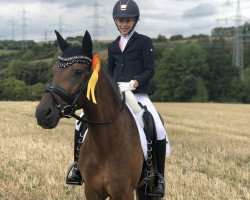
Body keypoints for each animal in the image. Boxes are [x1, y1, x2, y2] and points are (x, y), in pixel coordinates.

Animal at [35, 30, 162, 200]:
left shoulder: (124, 193)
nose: (43, 113)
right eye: (53, 71)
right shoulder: (92, 190)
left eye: (78, 71)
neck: (106, 143)